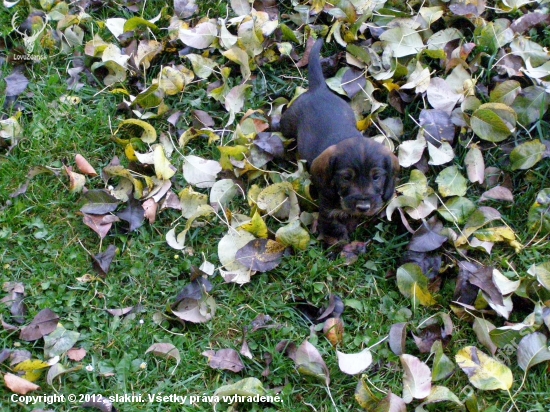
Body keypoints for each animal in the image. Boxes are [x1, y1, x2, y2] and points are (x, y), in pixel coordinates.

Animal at [282, 37, 398, 245]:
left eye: (376, 177)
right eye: (346, 177)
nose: (363, 207)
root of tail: (318, 88)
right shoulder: (329, 210)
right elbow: (335, 228)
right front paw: (340, 245)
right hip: (287, 124)